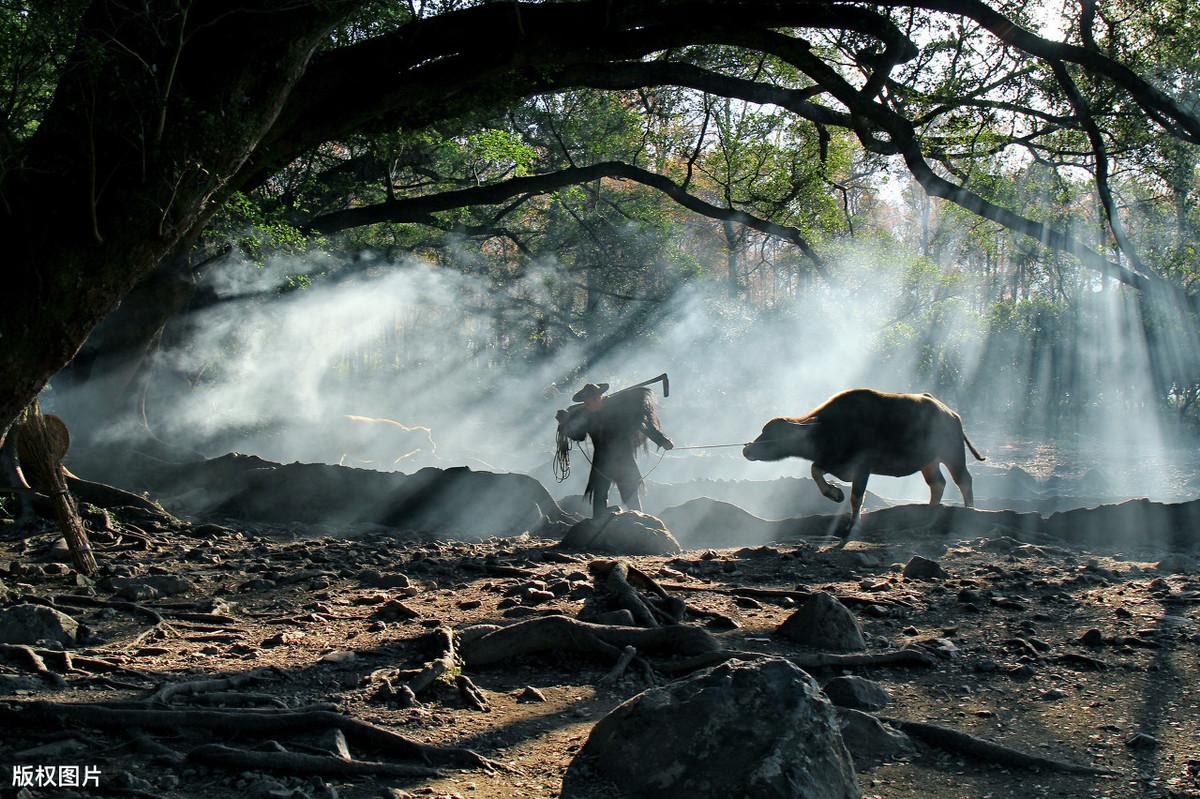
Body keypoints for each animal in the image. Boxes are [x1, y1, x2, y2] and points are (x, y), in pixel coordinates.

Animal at [744, 386, 988, 532]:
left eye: (771, 434)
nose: (747, 450)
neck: (828, 429)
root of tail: (951, 414)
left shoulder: (863, 467)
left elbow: (856, 496)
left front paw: (852, 525)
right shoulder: (834, 463)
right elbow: (815, 470)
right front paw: (834, 494)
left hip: (952, 454)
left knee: (964, 480)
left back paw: (969, 511)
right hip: (929, 462)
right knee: (938, 483)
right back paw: (928, 512)